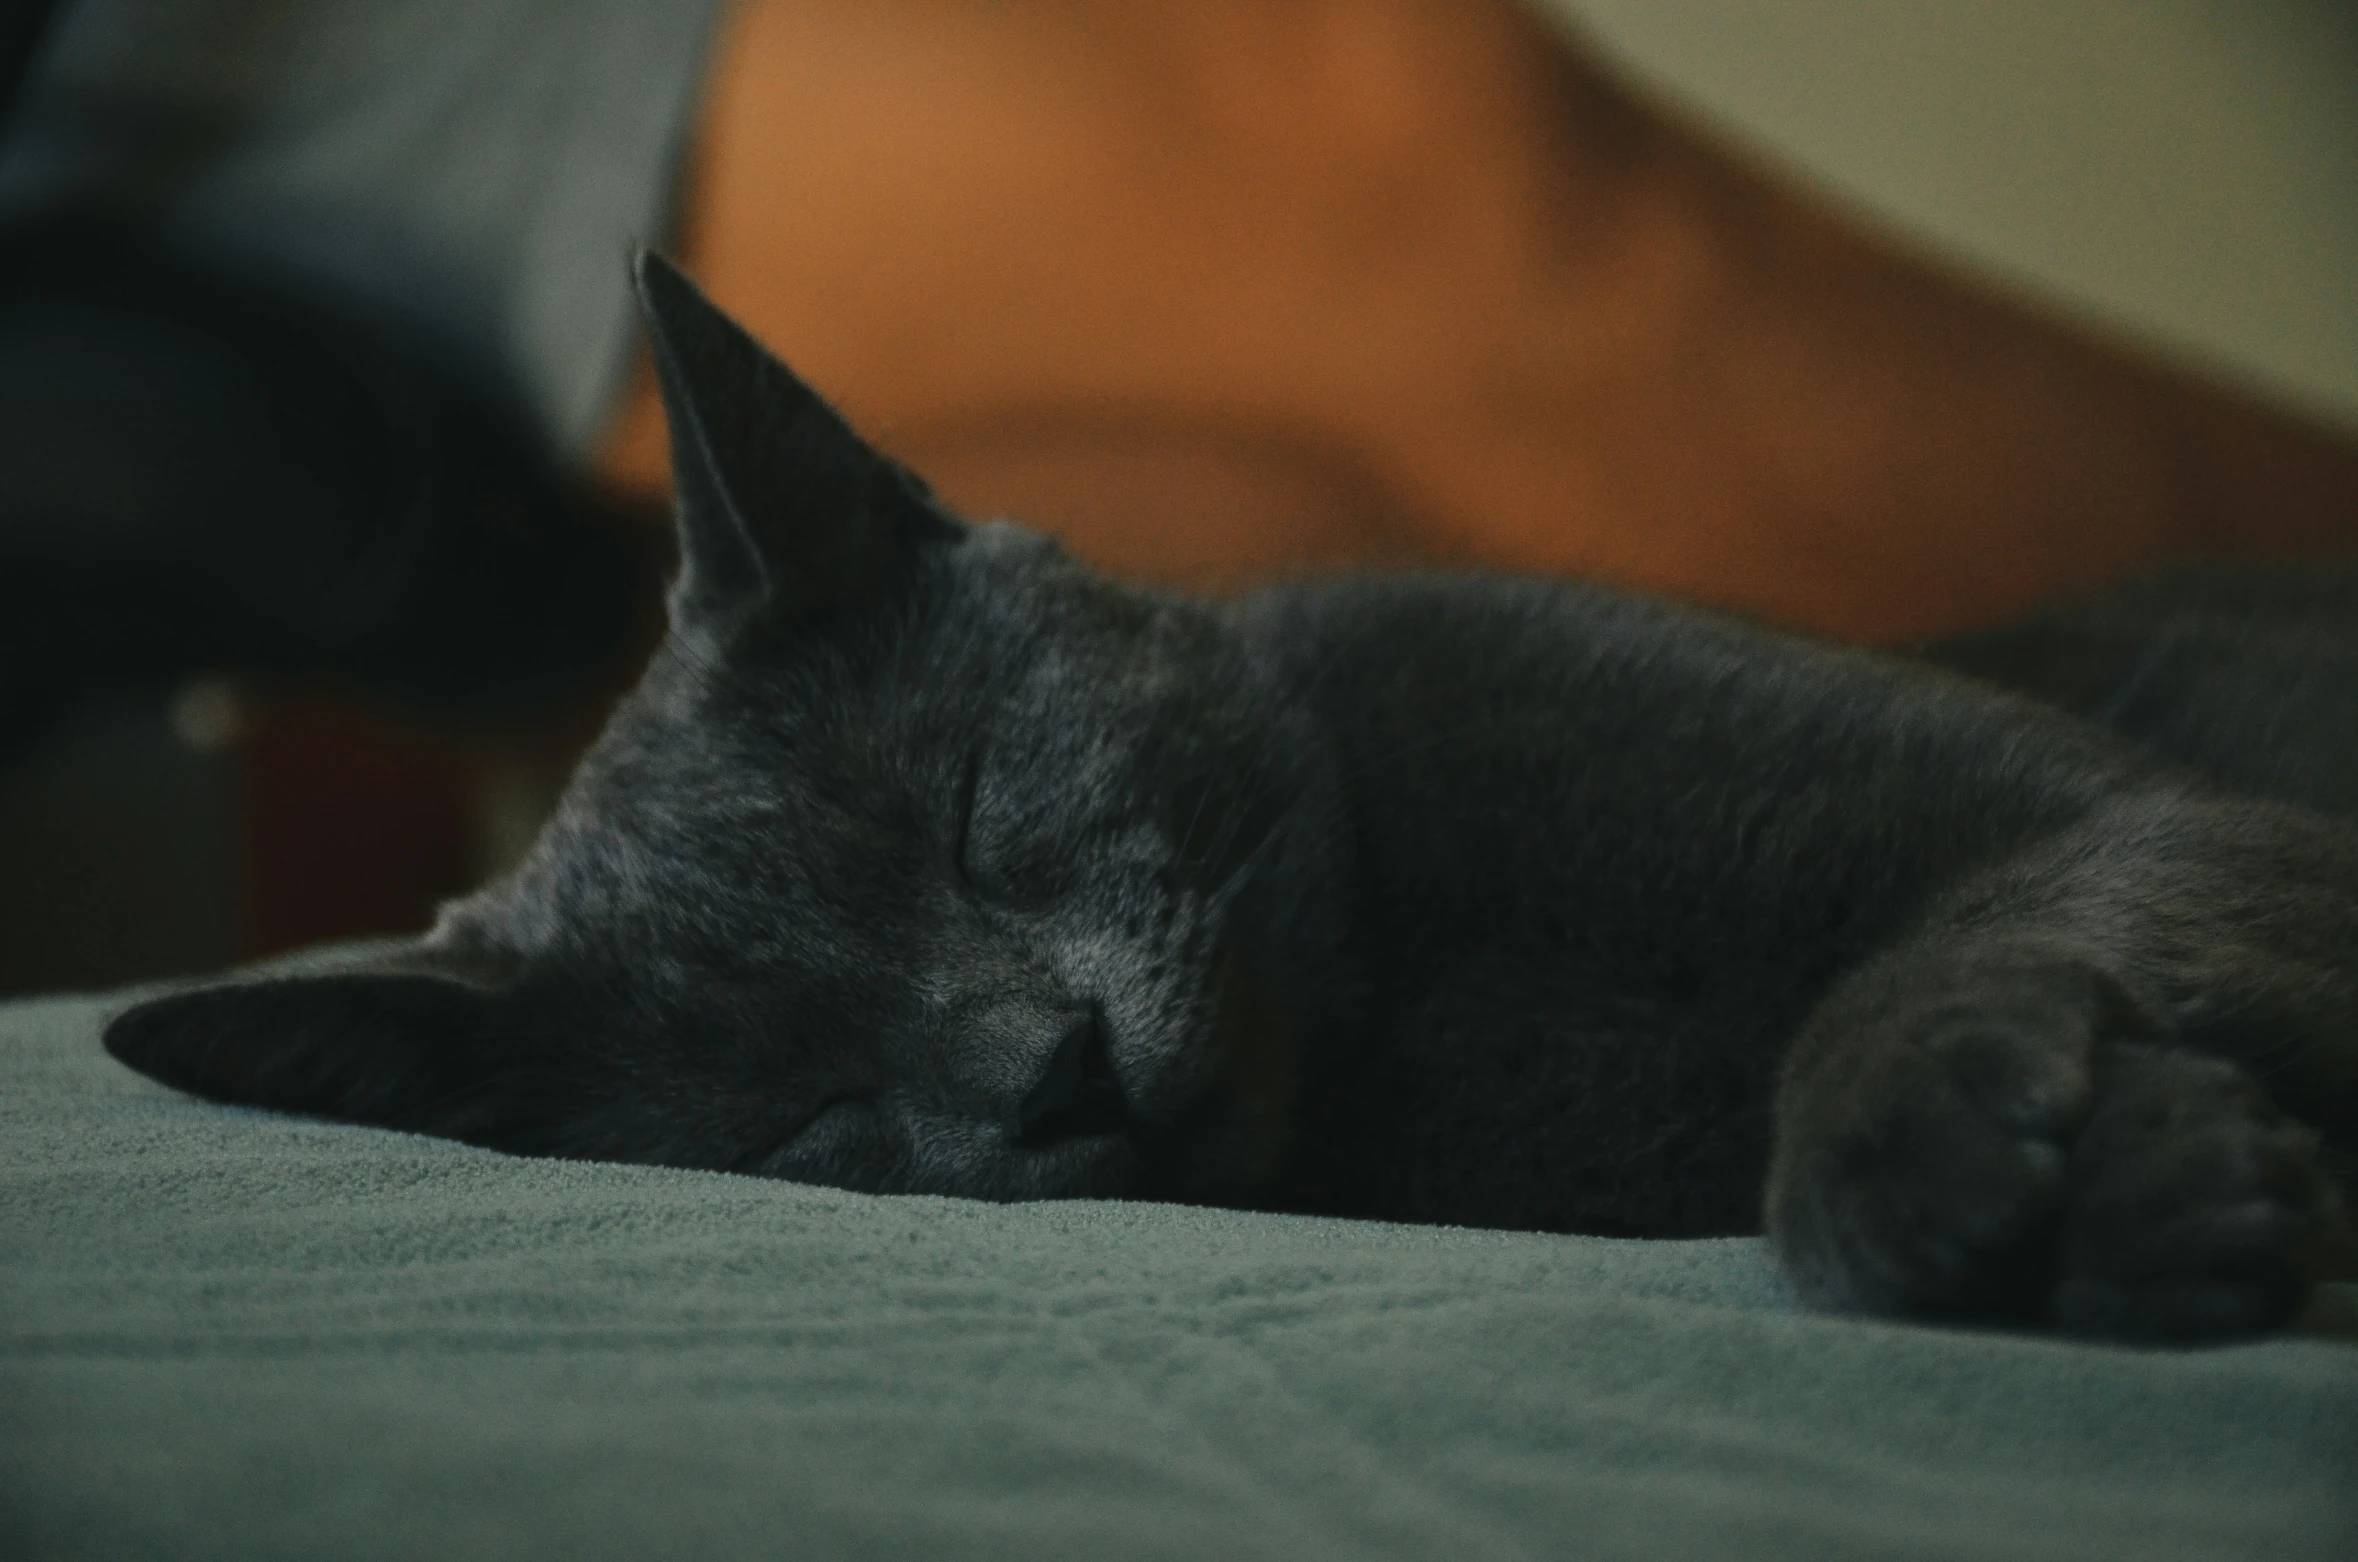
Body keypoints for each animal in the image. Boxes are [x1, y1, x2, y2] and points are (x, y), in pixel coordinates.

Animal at [96, 257, 2358, 1349]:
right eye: (799, 1102)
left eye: (980, 807)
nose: (1052, 1070)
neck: (1423, 996)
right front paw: (2149, 1196)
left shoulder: (2142, 808)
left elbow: (1968, 932)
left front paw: (1933, 1149)